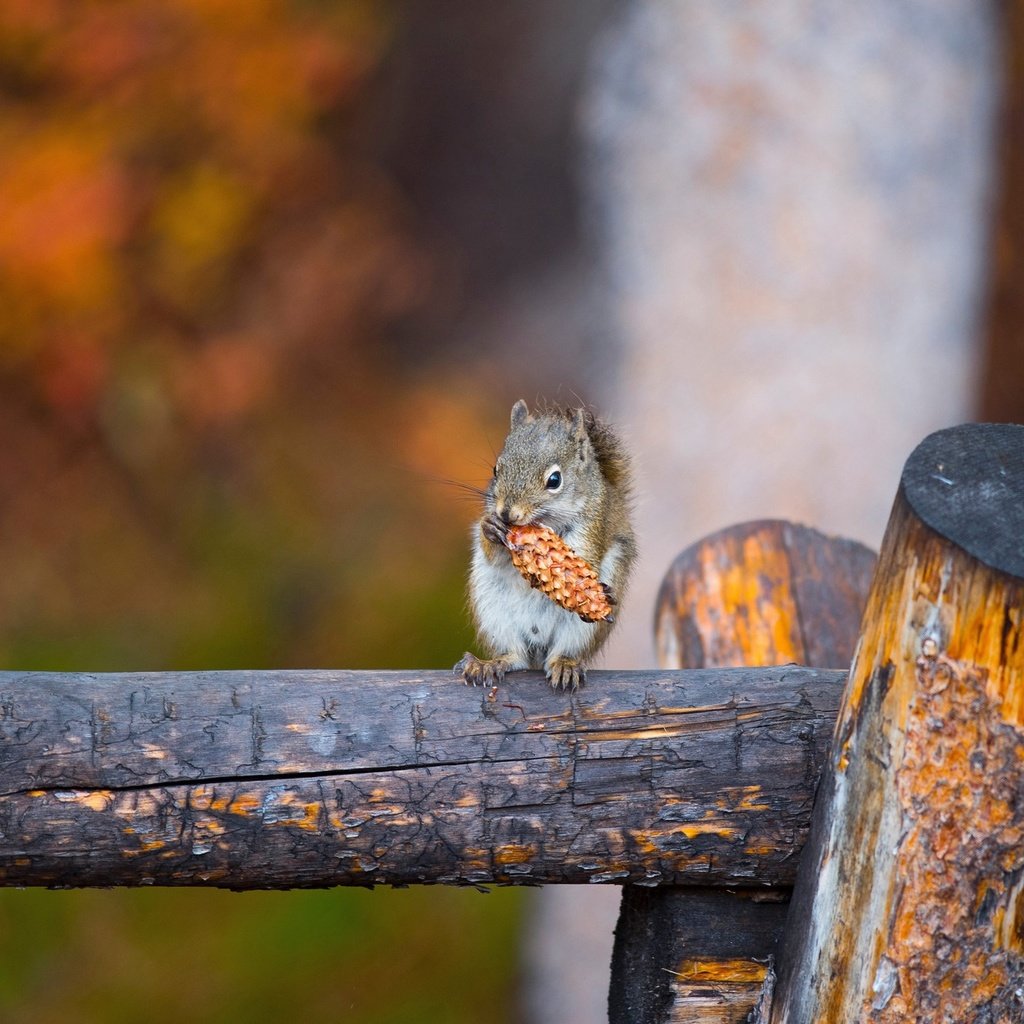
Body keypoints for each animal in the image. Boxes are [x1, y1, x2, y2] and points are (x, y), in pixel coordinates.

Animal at [454, 395, 634, 692]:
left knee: (564, 652)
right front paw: (490, 528)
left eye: (554, 480)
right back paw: (490, 664)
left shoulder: (594, 524)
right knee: (514, 656)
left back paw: (566, 665)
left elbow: (582, 560)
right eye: (496, 469)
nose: (507, 513)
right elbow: (492, 551)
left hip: (582, 630)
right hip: (492, 609)